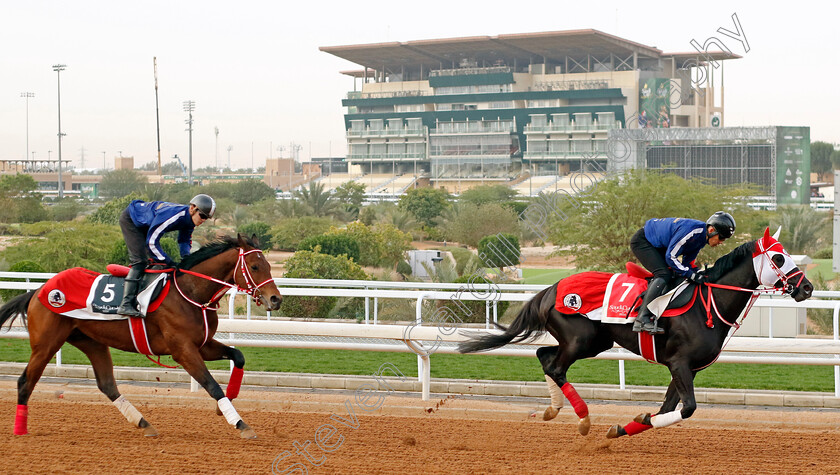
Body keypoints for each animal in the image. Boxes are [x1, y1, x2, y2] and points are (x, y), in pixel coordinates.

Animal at [0, 234, 282, 438]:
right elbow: (211, 384)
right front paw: (240, 424)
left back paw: (144, 423)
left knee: (107, 385)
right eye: (255, 266)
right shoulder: (182, 350)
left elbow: (238, 355)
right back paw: (20, 430)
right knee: (25, 381)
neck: (190, 293)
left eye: (269, 265)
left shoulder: (201, 345)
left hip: (92, 342)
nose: (275, 299)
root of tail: (38, 291)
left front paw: (224, 406)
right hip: (46, 343)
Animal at [460, 229, 812, 440]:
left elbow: (669, 407)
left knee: (544, 356)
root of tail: (552, 288)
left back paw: (552, 409)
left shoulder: (687, 368)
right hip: (580, 340)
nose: (807, 287)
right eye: (778, 257)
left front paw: (625, 427)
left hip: (592, 342)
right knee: (556, 366)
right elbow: (685, 409)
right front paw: (644, 419)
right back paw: (583, 419)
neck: (708, 305)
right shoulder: (680, 364)